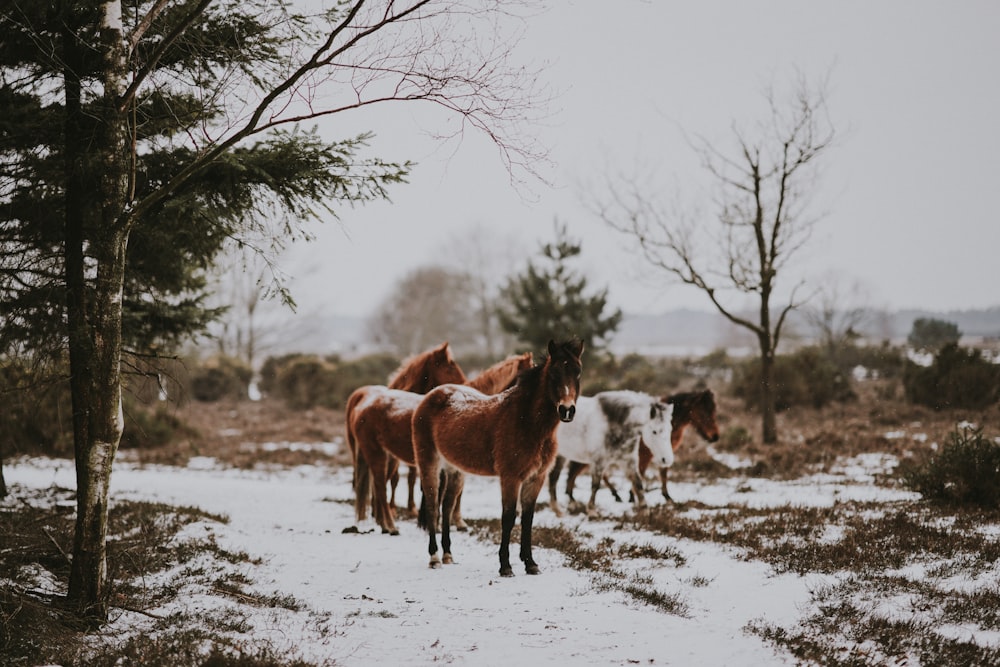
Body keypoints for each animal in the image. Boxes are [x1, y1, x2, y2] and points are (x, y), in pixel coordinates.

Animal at [358, 352, 536, 536]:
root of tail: (365, 407)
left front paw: (452, 522)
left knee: (378, 488)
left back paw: (383, 522)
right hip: (379, 455)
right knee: (380, 488)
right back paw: (390, 526)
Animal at [414, 342, 584, 576]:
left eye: (578, 372)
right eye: (554, 373)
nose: (567, 410)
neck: (527, 422)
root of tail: (431, 396)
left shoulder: (536, 478)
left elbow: (527, 519)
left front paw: (530, 563)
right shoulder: (510, 477)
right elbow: (508, 517)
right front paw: (505, 566)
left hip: (454, 469)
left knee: (447, 506)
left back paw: (448, 554)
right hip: (428, 462)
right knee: (432, 506)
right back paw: (434, 557)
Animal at [564, 388, 720, 504]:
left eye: (714, 412)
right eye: (704, 413)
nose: (715, 436)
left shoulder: (663, 454)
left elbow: (662, 474)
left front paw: (667, 497)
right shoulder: (645, 456)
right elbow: (643, 474)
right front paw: (633, 497)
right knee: (576, 472)